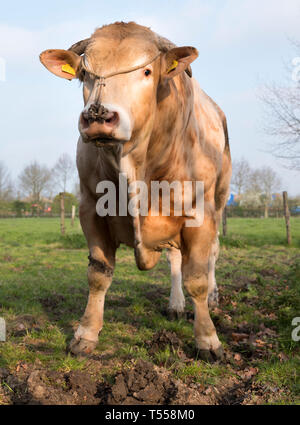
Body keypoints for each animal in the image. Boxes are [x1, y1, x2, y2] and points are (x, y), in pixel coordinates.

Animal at [39, 20, 231, 362]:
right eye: (85, 74)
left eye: (146, 72)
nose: (98, 115)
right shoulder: (90, 208)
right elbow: (98, 274)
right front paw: (85, 335)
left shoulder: (200, 213)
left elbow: (197, 277)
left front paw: (208, 340)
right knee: (174, 258)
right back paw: (176, 304)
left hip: (219, 200)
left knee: (211, 254)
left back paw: (212, 298)